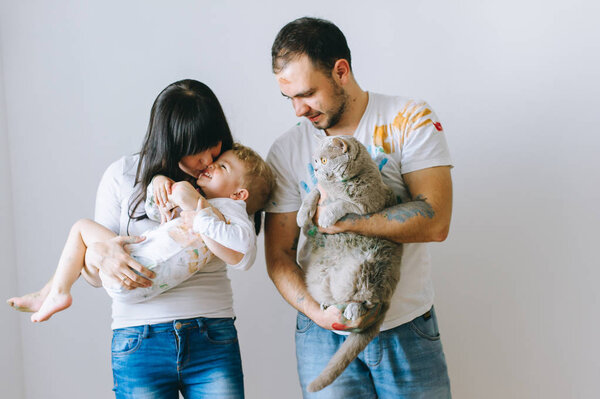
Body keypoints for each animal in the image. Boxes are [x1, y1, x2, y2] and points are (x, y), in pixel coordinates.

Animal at [296, 136, 404, 392]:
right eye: (315, 160)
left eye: (324, 160)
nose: (316, 169)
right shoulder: (320, 190)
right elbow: (312, 194)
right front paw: (302, 215)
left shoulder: (369, 205)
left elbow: (344, 204)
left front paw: (326, 216)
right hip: (319, 276)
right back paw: (329, 304)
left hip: (371, 266)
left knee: (368, 299)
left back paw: (354, 309)